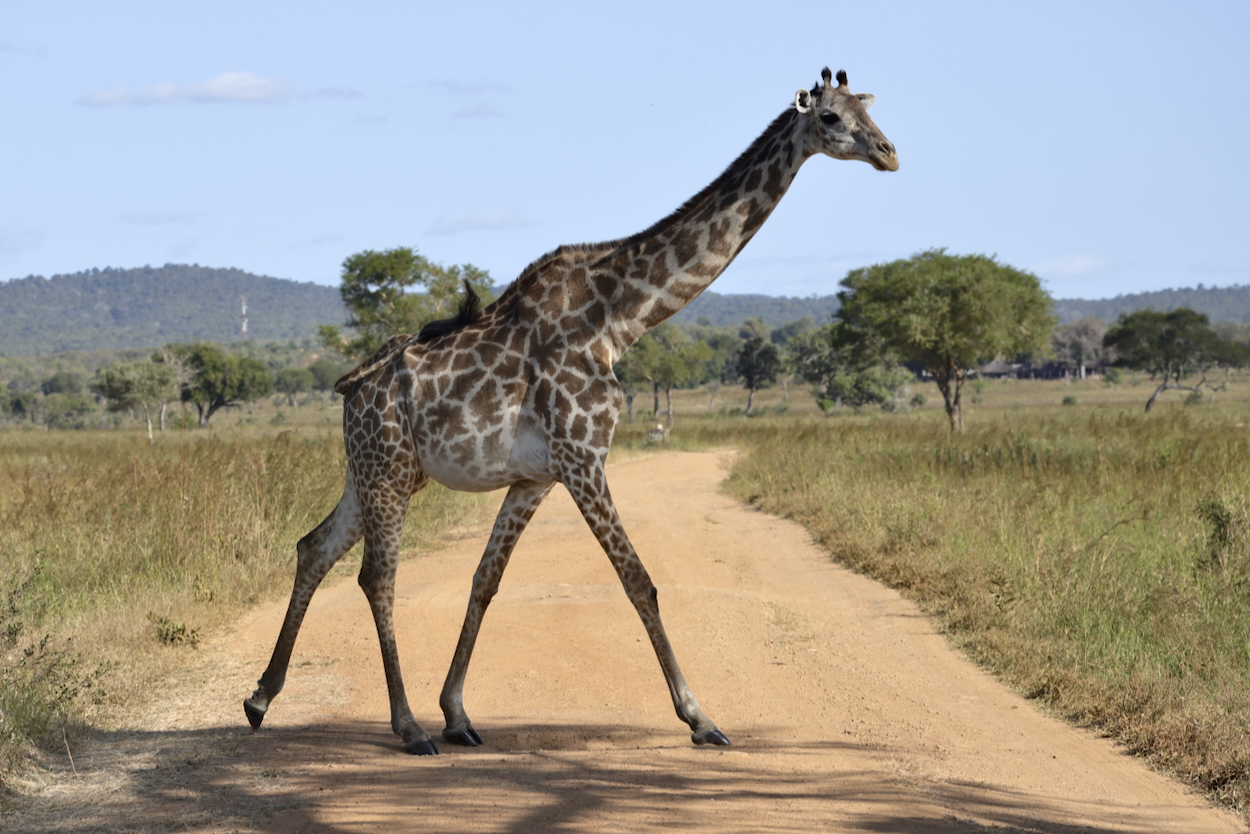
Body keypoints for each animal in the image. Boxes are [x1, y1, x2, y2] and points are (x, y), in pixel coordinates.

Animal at [243, 68, 895, 755]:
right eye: (830, 117)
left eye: (867, 110)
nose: (889, 154)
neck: (620, 319)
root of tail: (349, 388)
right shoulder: (584, 458)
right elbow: (638, 580)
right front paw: (700, 718)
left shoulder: (537, 476)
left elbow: (486, 579)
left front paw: (457, 713)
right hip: (389, 471)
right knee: (376, 576)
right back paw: (406, 726)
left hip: (374, 471)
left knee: (314, 547)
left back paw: (262, 698)